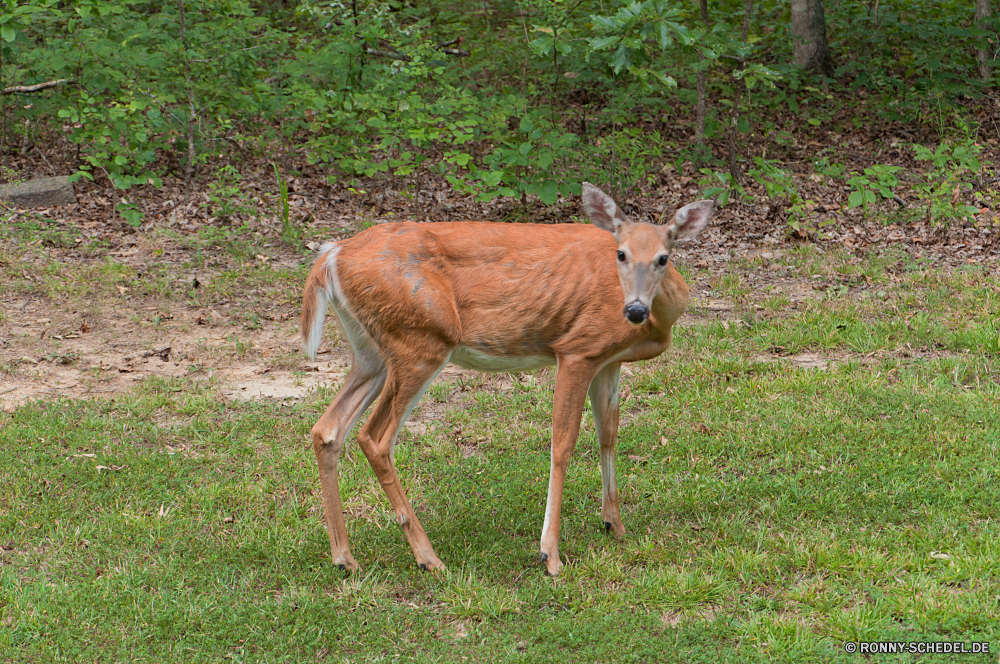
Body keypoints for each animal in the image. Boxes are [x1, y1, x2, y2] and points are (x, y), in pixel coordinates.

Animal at [300, 183, 716, 576]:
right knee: (374, 437)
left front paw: (615, 524)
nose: (634, 309)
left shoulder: (608, 360)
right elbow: (562, 443)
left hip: (371, 352)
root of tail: (331, 255)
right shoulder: (577, 349)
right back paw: (428, 558)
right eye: (622, 254)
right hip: (420, 342)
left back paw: (345, 558)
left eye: (664, 257)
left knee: (328, 429)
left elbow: (608, 433)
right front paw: (550, 555)